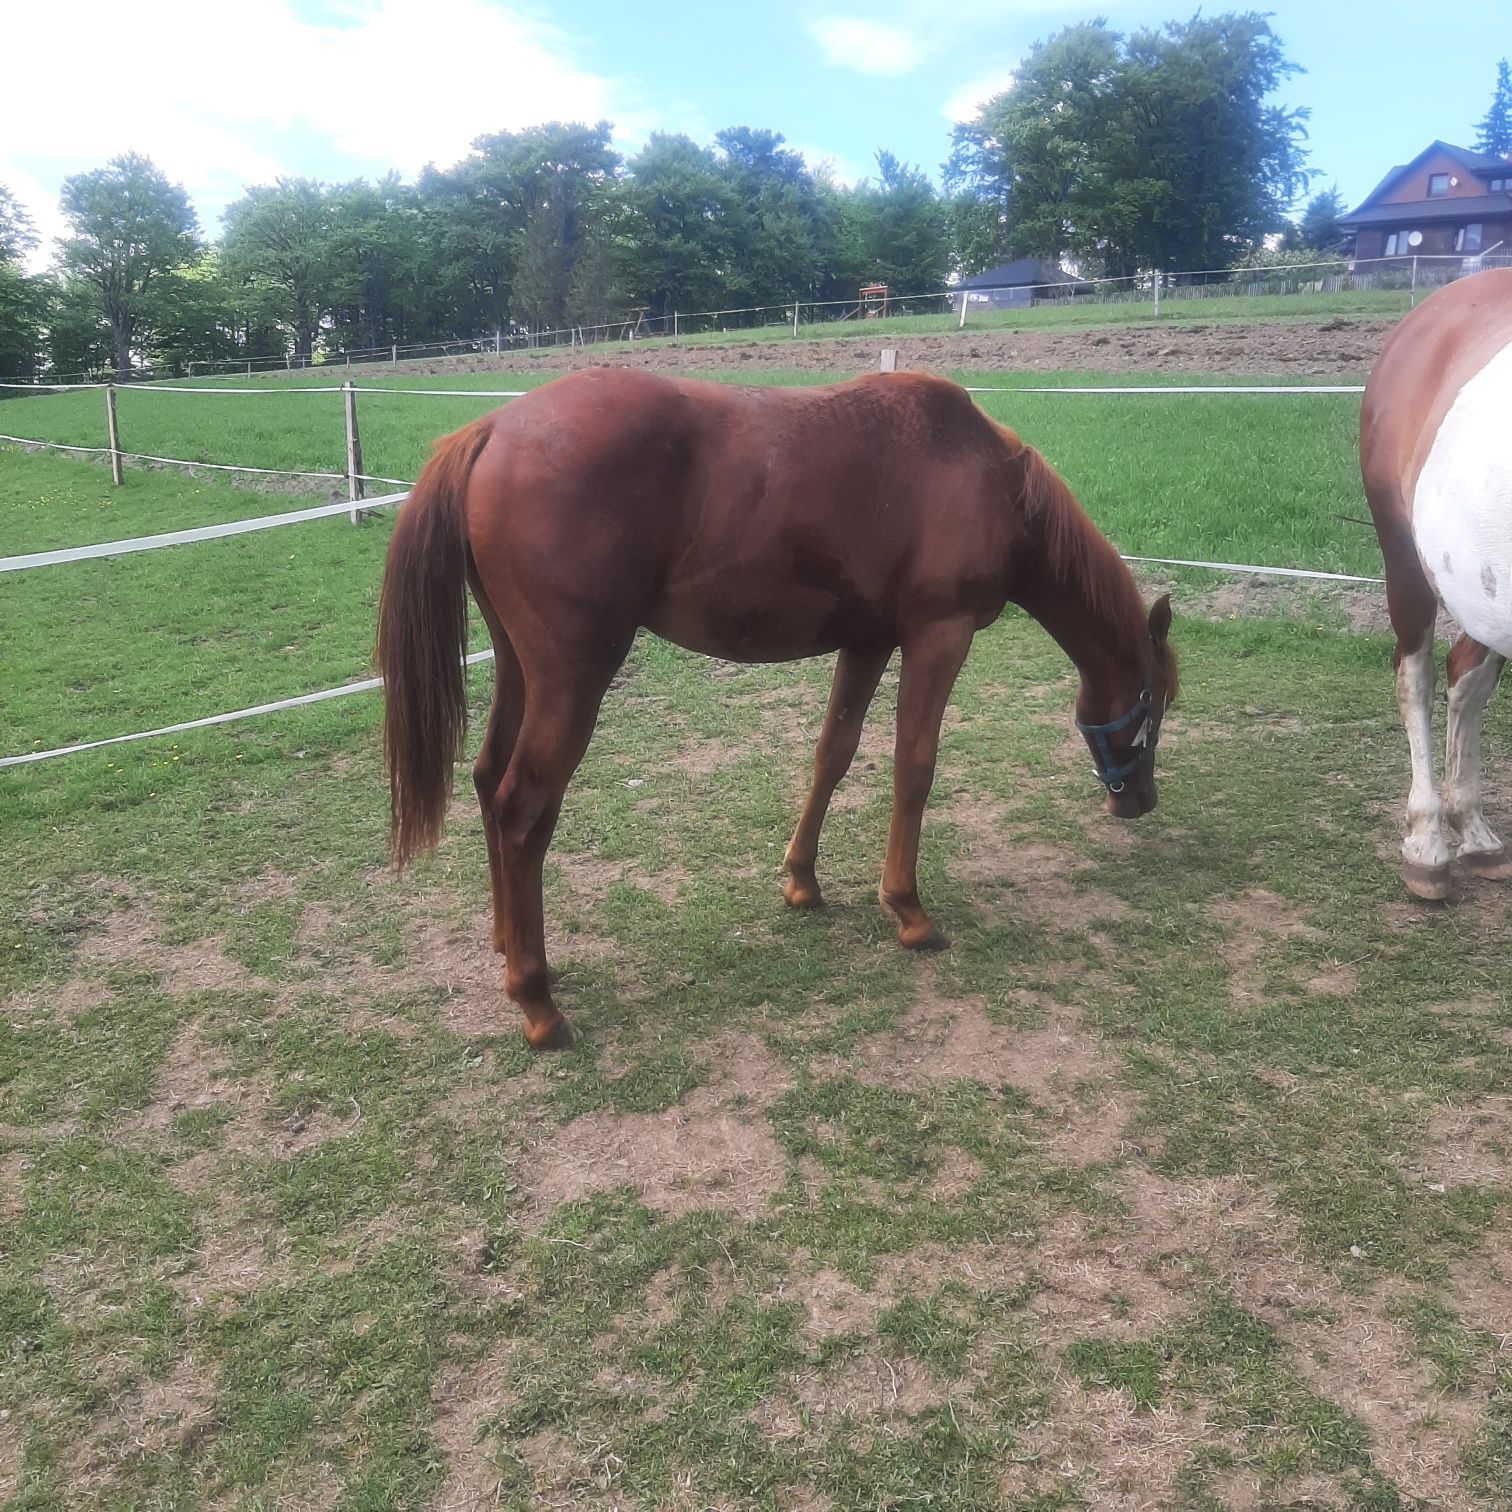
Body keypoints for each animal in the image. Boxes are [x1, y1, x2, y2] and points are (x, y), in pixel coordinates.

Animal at [378, 371, 1179, 1046]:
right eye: (1161, 701)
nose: (1139, 799)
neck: (990, 478)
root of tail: (489, 430)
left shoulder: (867, 642)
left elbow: (834, 753)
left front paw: (802, 881)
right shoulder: (937, 637)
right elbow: (913, 767)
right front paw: (908, 911)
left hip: (521, 668)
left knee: (487, 779)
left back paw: (509, 944)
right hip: (572, 679)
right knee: (522, 807)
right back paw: (537, 1001)